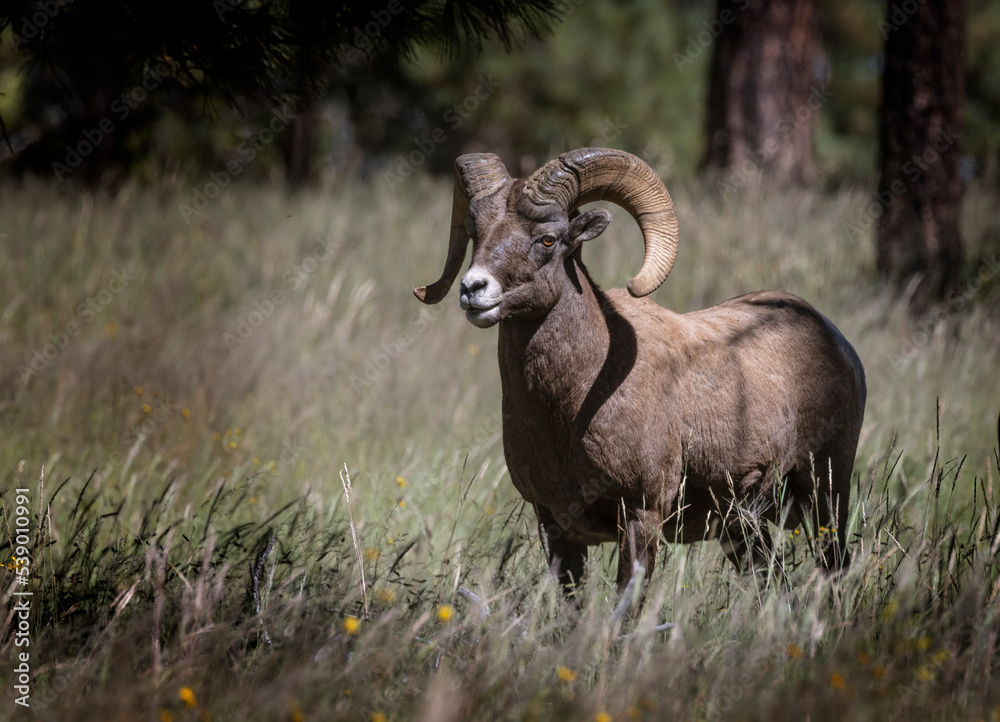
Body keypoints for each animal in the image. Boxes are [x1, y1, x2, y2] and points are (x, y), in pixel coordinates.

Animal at [414, 148, 868, 592]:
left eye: (547, 239)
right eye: (475, 232)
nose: (473, 289)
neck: (570, 410)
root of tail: (837, 343)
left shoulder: (640, 515)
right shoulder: (554, 526)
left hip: (826, 496)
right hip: (741, 528)